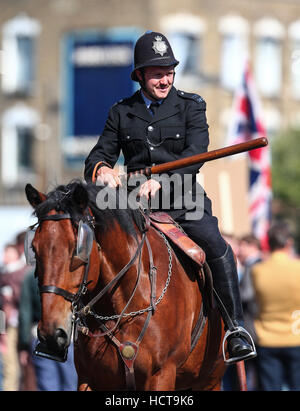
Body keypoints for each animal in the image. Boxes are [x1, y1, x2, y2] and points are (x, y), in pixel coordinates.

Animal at [24, 182, 225, 392]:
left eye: (78, 249)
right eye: (34, 249)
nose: (51, 334)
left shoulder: (161, 375)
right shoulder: (89, 379)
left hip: (210, 382)